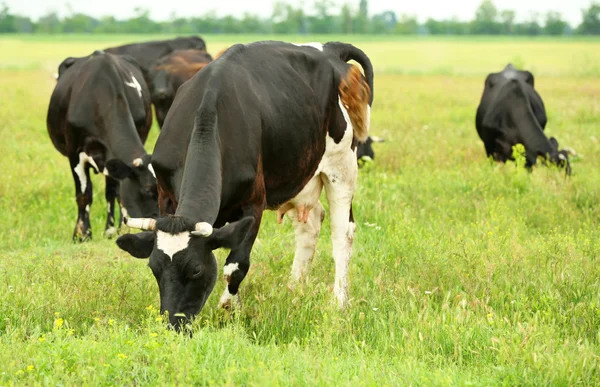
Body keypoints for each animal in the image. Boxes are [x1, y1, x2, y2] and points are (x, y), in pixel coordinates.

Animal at [47, 50, 158, 241]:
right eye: (147, 190)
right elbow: (84, 195)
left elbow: (118, 193)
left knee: (111, 191)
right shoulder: (74, 154)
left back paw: (110, 229)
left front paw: (120, 230)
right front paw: (81, 235)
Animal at [114, 41, 372, 328]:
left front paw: (228, 309)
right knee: (309, 226)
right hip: (302, 175)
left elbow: (236, 265)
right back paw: (294, 289)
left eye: (196, 270)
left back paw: (338, 302)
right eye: (154, 268)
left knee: (342, 235)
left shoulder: (253, 204)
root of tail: (329, 48)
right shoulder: (166, 196)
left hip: (342, 168)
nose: (174, 323)